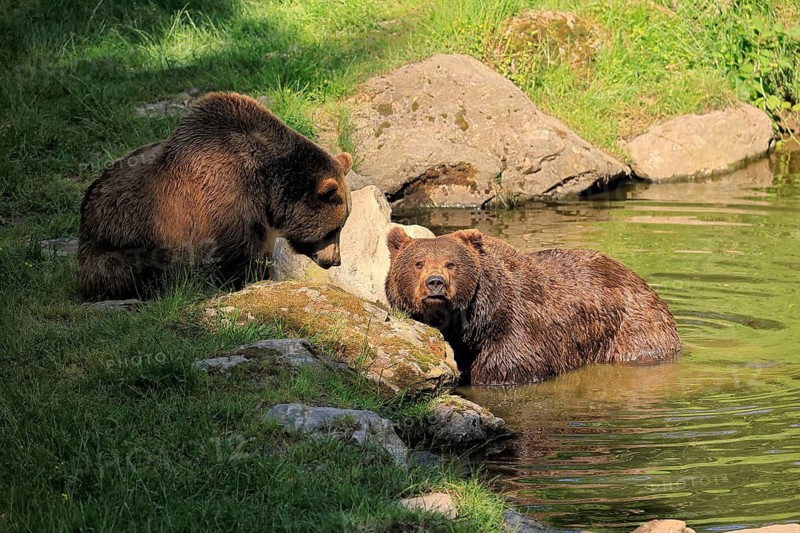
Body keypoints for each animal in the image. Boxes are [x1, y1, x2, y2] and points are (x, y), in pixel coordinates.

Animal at [79, 92, 353, 301]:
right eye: (333, 229)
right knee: (134, 268)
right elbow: (238, 253)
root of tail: (86, 206)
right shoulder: (226, 197)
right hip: (123, 237)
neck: (267, 187)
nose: (336, 260)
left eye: (340, 227)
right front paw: (244, 281)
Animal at [385, 228, 681, 386]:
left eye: (451, 263)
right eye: (418, 262)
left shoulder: (519, 327)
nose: (435, 283)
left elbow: (508, 367)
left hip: (633, 328)